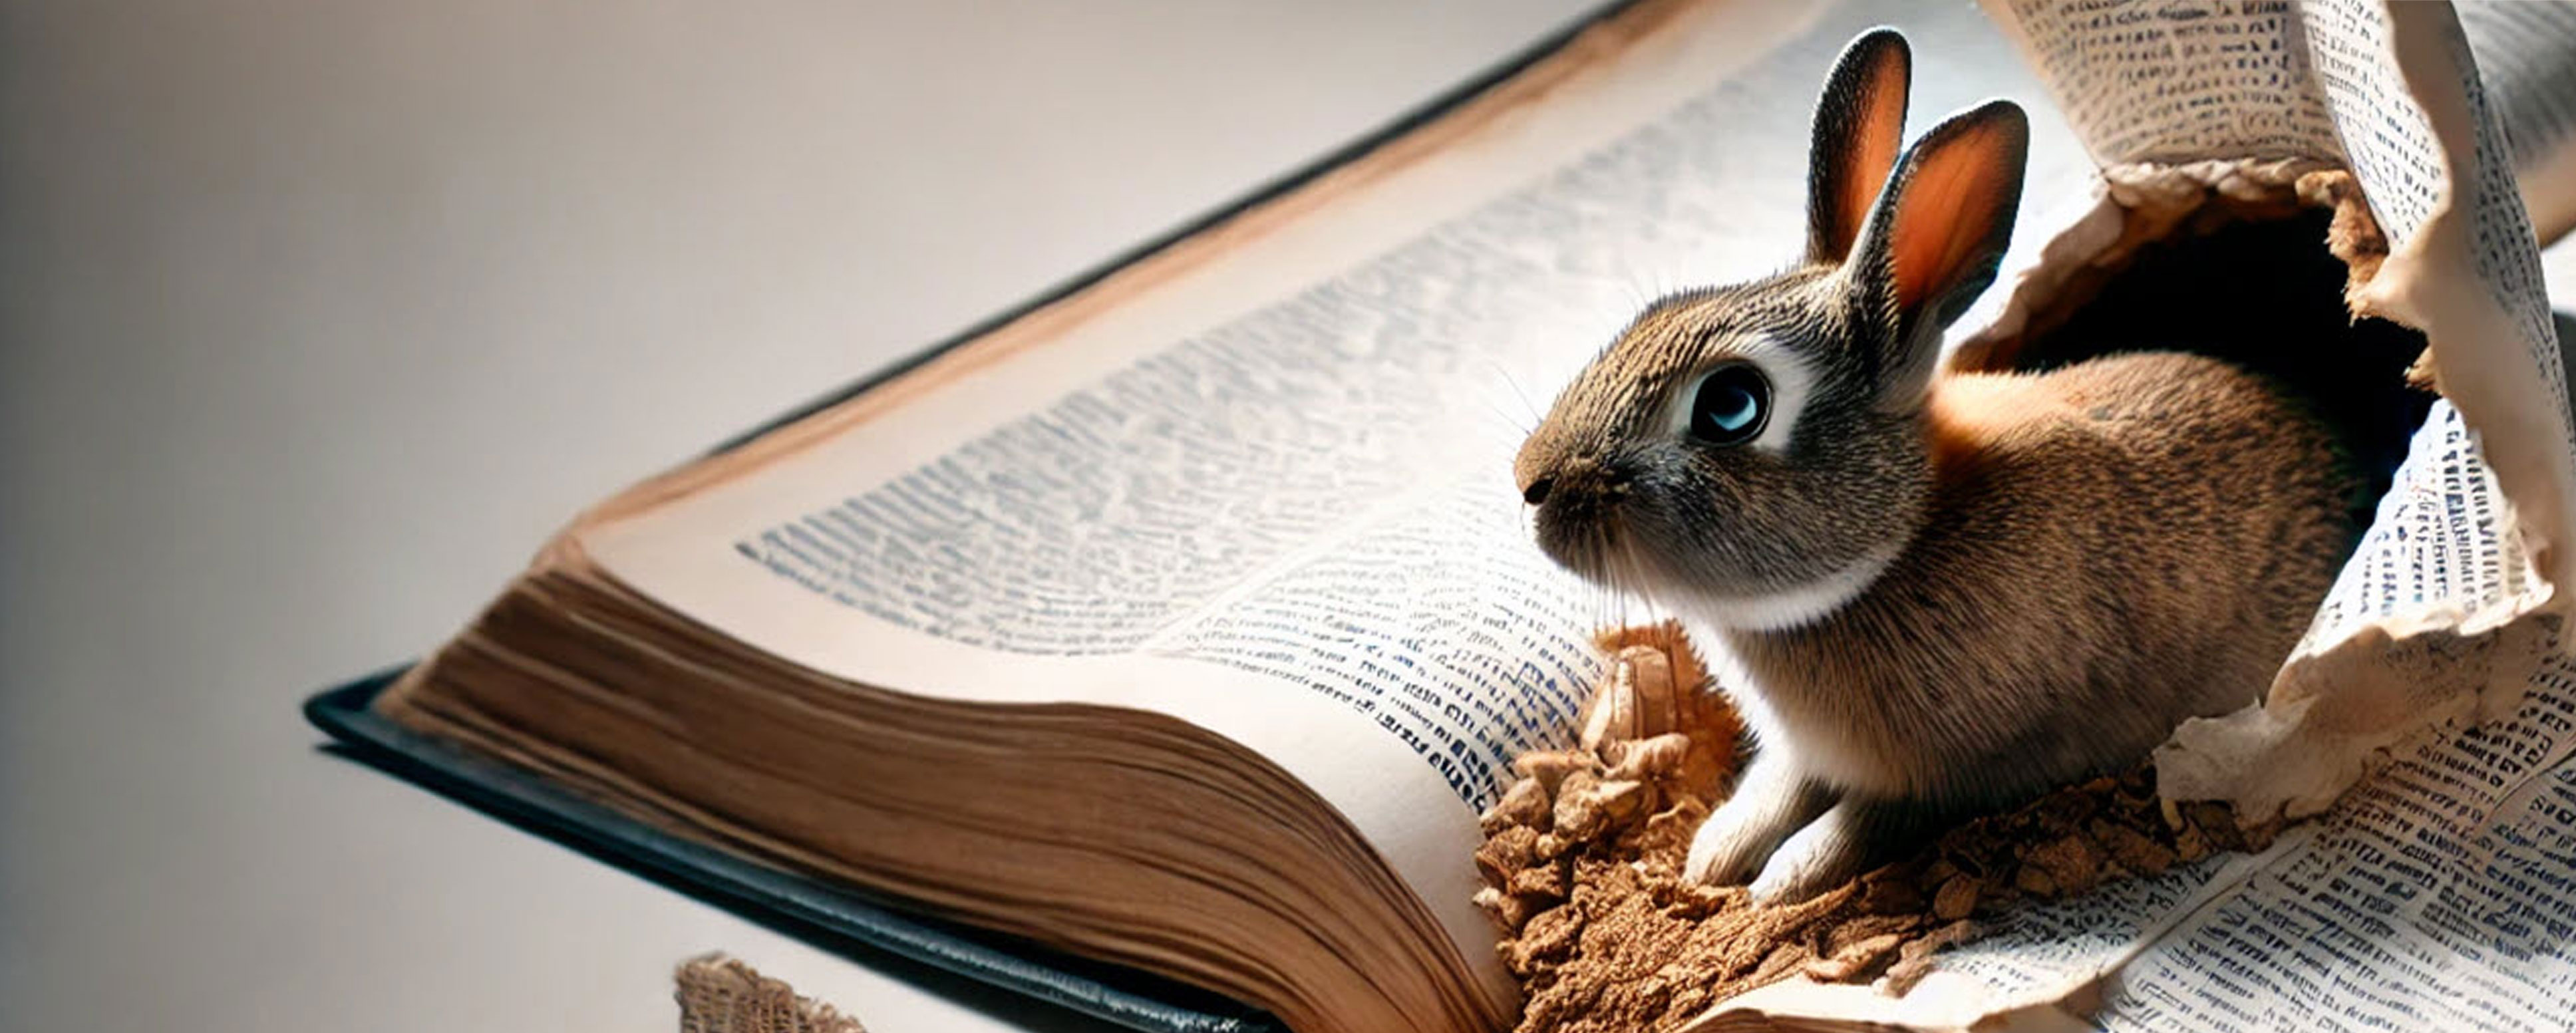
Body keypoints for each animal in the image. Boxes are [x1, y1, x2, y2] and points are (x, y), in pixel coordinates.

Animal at [1512, 28, 2355, 904]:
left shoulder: (1968, 770)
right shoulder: (1807, 753)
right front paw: (1715, 853)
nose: (1528, 483)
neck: (1893, 547)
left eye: (1731, 404)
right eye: (1656, 311)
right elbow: (1776, 785)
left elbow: (1865, 822)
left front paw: (1778, 879)